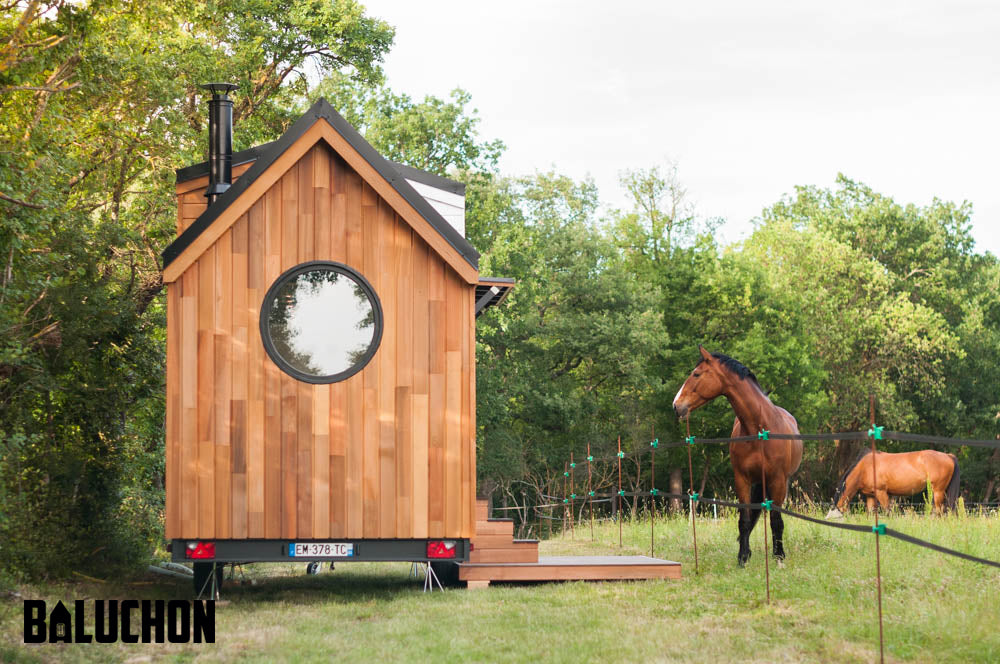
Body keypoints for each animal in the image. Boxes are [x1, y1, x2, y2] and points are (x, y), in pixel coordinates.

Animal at [672, 344, 804, 568]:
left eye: (696, 374)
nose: (676, 405)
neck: (758, 429)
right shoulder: (742, 479)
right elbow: (745, 519)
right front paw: (743, 557)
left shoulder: (777, 480)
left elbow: (776, 520)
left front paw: (779, 557)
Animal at [820, 448, 960, 516]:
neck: (866, 467)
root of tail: (949, 456)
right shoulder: (871, 496)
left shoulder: (881, 493)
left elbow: (888, 513)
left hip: (937, 492)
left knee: (939, 511)